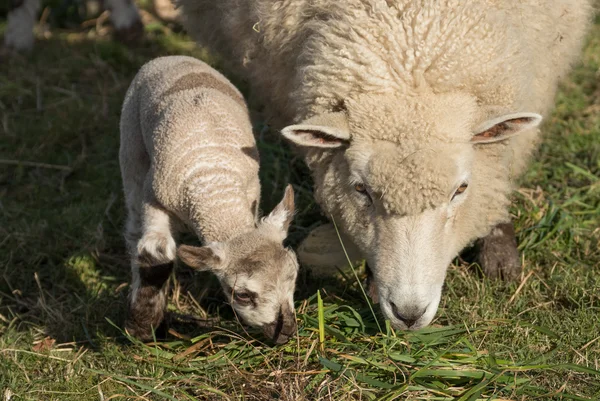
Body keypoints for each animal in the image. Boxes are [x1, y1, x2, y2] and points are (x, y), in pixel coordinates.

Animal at [119, 55, 300, 344]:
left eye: (294, 277)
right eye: (243, 295)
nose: (285, 334)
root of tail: (174, 58)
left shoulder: (252, 195)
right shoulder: (154, 198)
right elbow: (155, 253)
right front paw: (141, 327)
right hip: (131, 143)